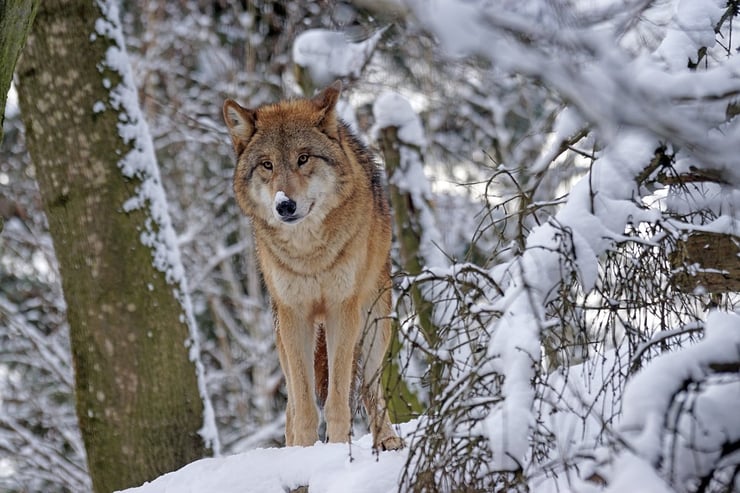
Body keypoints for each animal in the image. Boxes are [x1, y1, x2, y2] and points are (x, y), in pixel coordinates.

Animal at [223, 81, 404, 451]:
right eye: (267, 165)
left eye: (303, 158)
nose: (285, 205)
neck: (309, 254)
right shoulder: (295, 316)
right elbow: (304, 404)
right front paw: (303, 453)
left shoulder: (341, 309)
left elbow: (337, 397)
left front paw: (336, 448)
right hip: (282, 336)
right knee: (291, 405)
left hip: (375, 325)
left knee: (370, 388)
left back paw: (387, 439)